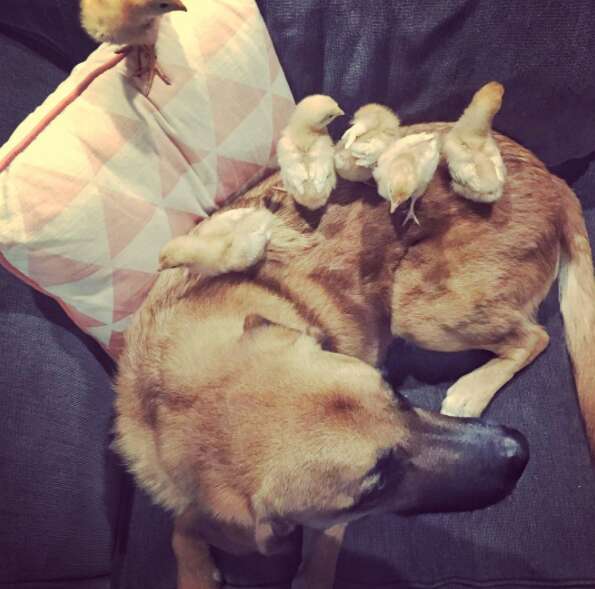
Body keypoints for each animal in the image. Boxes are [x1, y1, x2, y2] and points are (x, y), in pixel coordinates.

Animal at [113, 121, 595, 584]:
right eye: (375, 486)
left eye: (395, 395)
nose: (519, 449)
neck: (175, 397)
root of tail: (555, 180)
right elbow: (185, 525)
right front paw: (196, 568)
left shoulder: (328, 528)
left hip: (417, 309)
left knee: (535, 337)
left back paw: (472, 390)